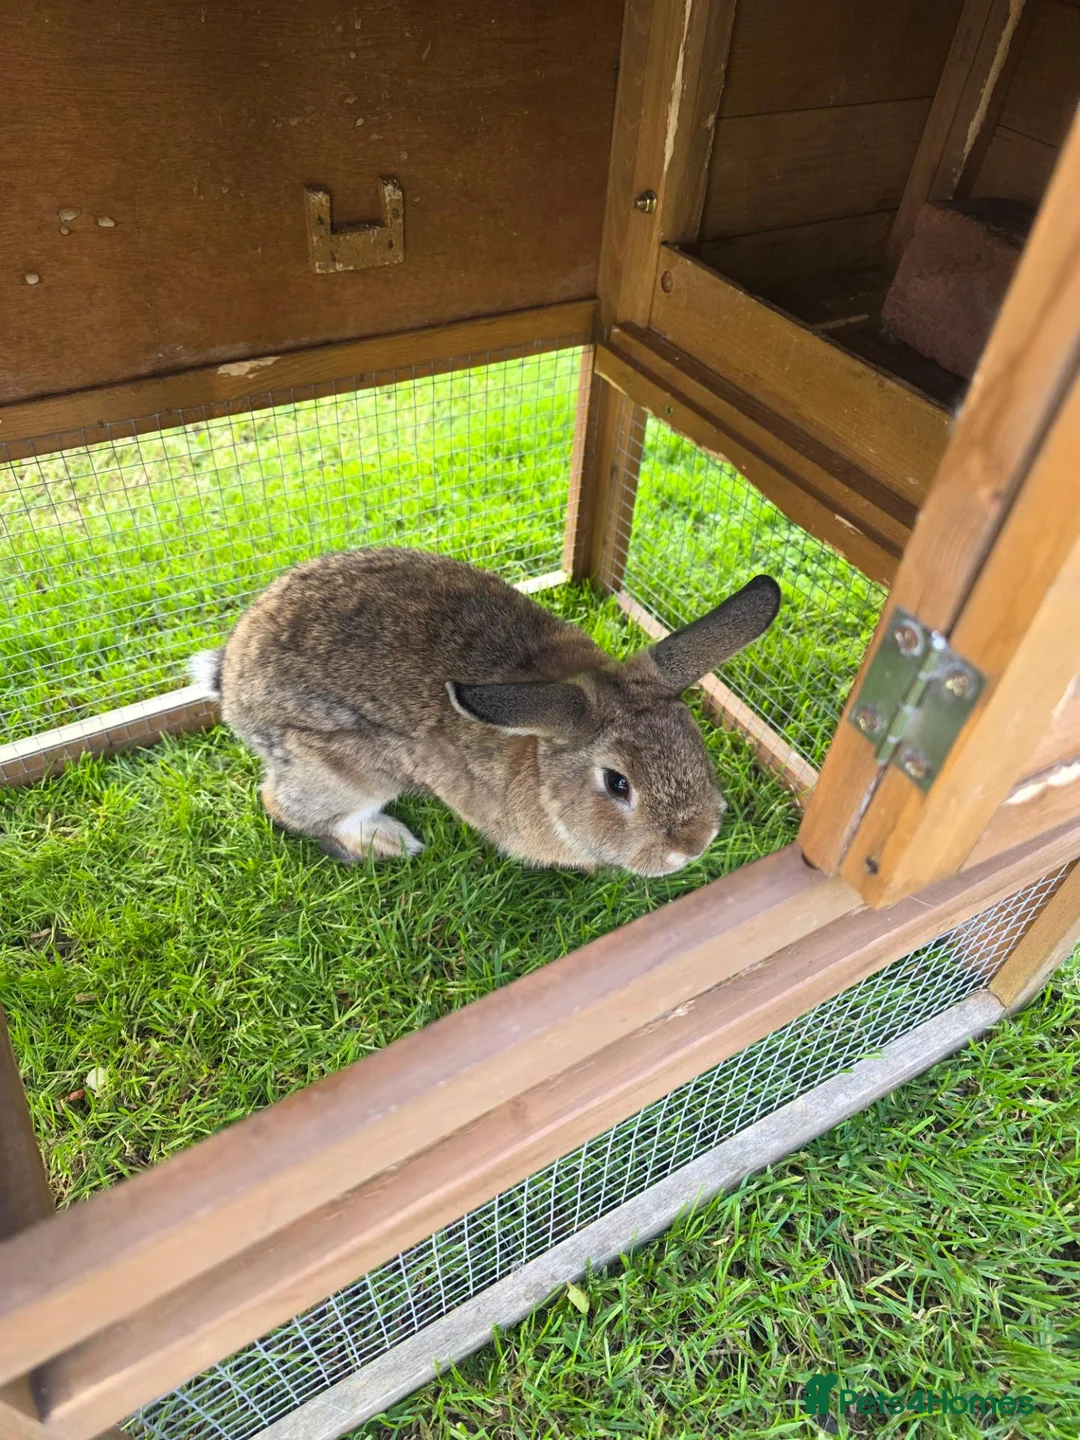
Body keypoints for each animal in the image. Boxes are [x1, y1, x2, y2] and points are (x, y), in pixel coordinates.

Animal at [190, 547, 781, 877]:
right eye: (618, 783)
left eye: (695, 744)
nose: (692, 847)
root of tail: (230, 678)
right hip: (344, 769)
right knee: (287, 807)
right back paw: (389, 844)